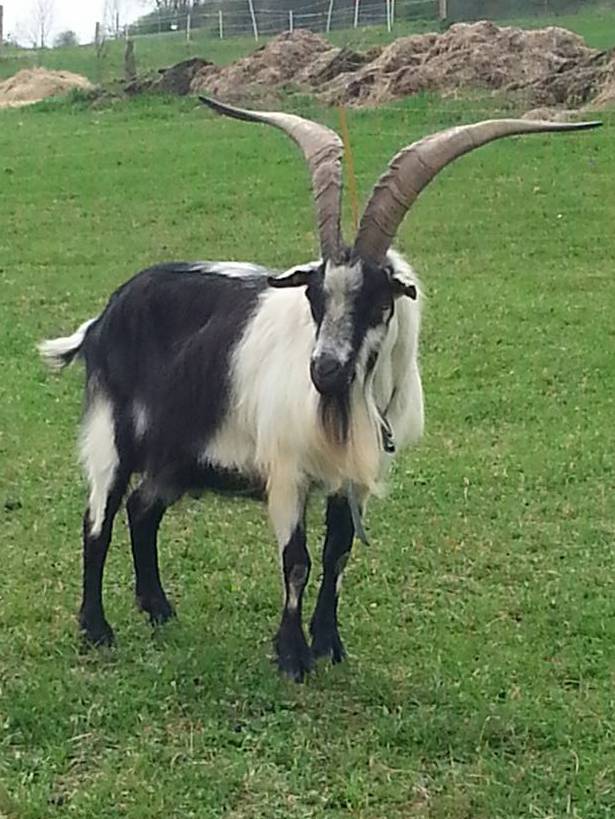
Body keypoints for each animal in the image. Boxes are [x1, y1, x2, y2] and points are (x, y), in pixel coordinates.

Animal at [39, 97, 600, 681]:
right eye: (314, 295)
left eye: (379, 300)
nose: (325, 371)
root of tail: (104, 316)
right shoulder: (288, 473)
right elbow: (297, 562)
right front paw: (292, 657)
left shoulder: (349, 480)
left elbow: (338, 554)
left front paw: (330, 643)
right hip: (113, 434)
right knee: (98, 518)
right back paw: (97, 630)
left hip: (179, 453)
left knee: (142, 508)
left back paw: (159, 610)